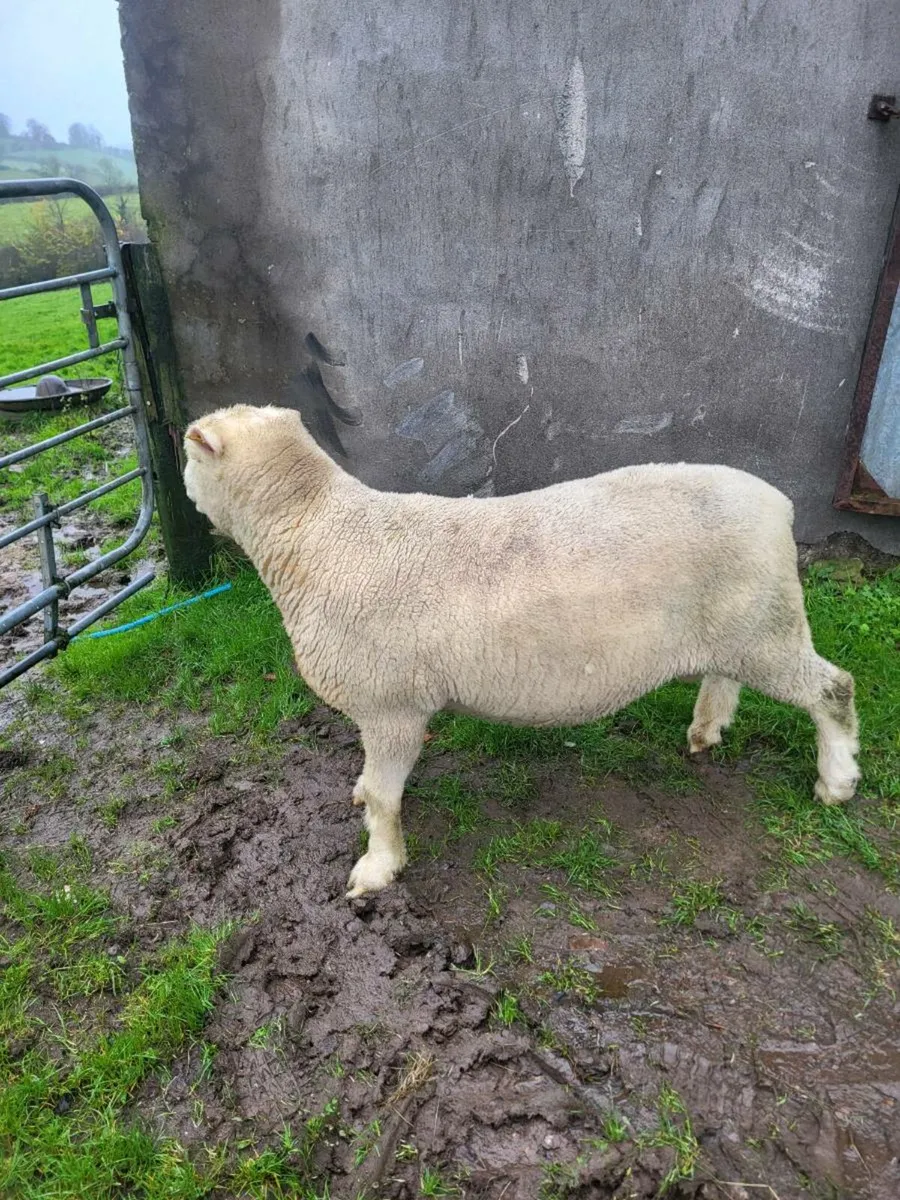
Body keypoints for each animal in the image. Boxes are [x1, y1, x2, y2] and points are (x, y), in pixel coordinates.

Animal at [183, 404, 860, 898]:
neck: (315, 532)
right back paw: (707, 729)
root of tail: (779, 503)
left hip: (766, 624)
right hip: (738, 621)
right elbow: (373, 786)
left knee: (833, 689)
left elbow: (384, 796)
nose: (186, 489)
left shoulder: (392, 703)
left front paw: (378, 868)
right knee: (725, 674)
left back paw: (837, 780)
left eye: (189, 455)